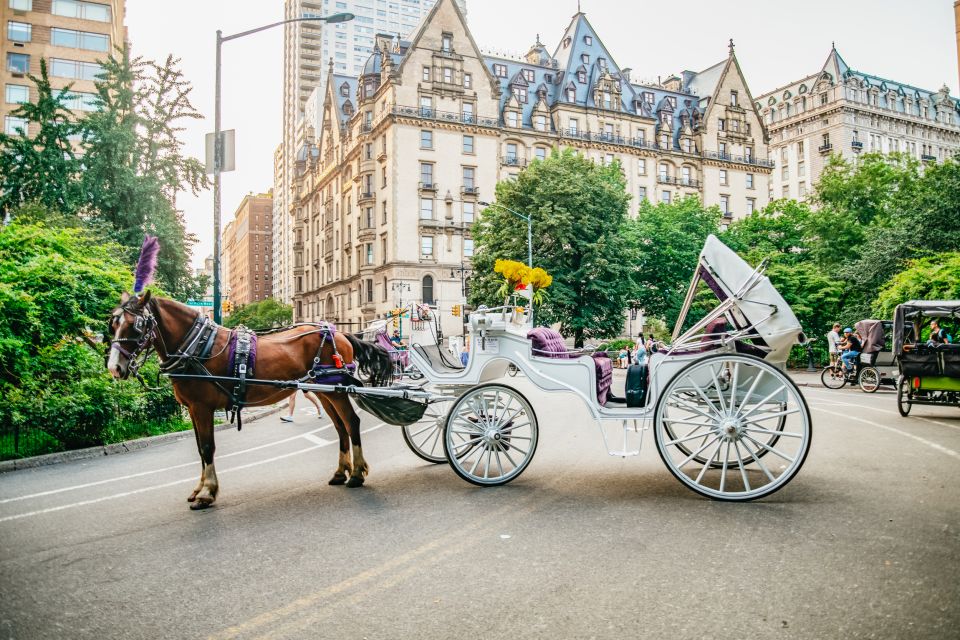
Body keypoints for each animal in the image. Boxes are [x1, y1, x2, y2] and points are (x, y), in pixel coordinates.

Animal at [109, 292, 398, 510]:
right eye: (113, 323)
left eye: (137, 325)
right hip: (325, 390)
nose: (114, 367)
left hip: (336, 390)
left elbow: (207, 448)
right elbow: (200, 450)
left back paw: (357, 474)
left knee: (352, 422)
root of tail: (339, 333)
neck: (197, 348)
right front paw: (200, 489)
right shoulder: (192, 409)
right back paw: (341, 472)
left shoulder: (202, 408)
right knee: (340, 428)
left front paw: (207, 493)